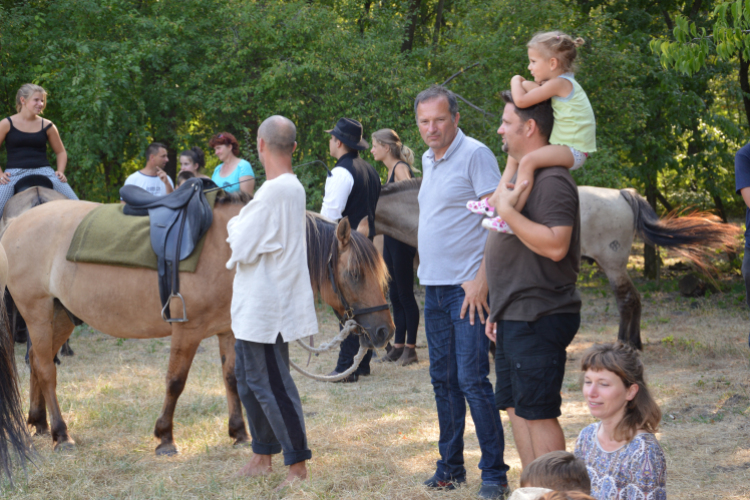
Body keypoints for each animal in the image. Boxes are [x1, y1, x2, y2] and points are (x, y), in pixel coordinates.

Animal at [2, 193, 394, 456]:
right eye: (354, 273)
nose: (384, 331)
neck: (236, 252)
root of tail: (15, 224)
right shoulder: (187, 332)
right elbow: (175, 382)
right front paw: (165, 436)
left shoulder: (228, 330)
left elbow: (231, 378)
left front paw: (239, 432)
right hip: (37, 311)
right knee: (46, 370)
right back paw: (61, 433)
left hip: (61, 316)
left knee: (38, 362)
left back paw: (38, 422)